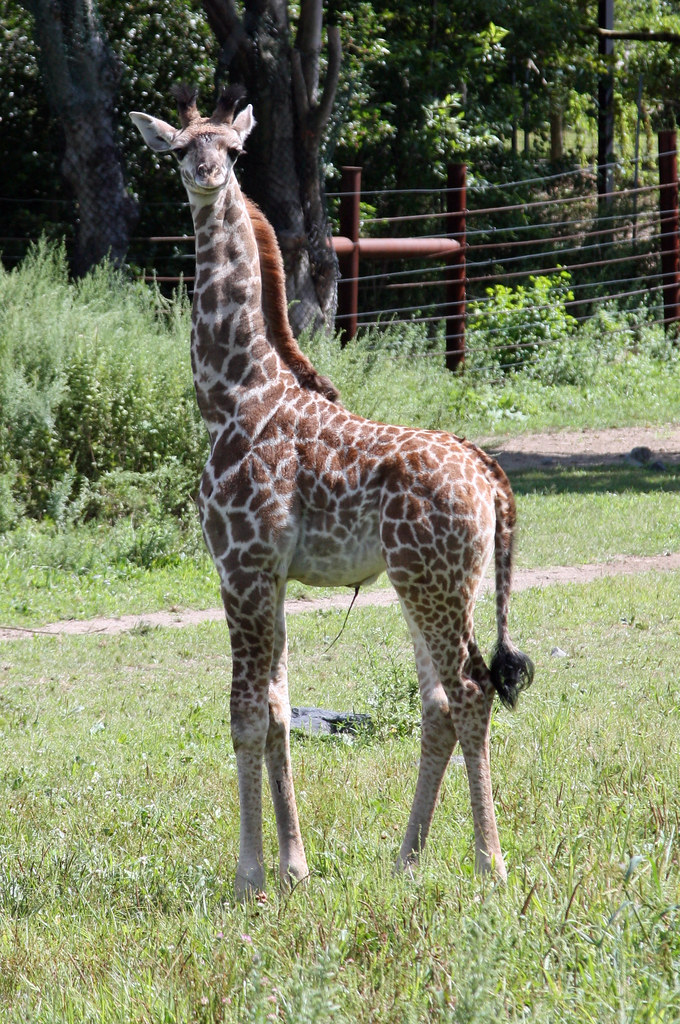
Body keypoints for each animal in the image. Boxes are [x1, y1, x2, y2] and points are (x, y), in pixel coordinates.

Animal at [131, 85, 534, 899]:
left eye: (235, 149)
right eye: (177, 148)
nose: (205, 174)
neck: (230, 395)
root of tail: (491, 480)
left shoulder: (242, 567)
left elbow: (244, 713)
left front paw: (251, 875)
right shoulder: (272, 577)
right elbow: (280, 710)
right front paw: (295, 866)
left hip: (434, 583)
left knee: (470, 692)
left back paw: (490, 864)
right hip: (435, 583)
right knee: (439, 703)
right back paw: (406, 860)